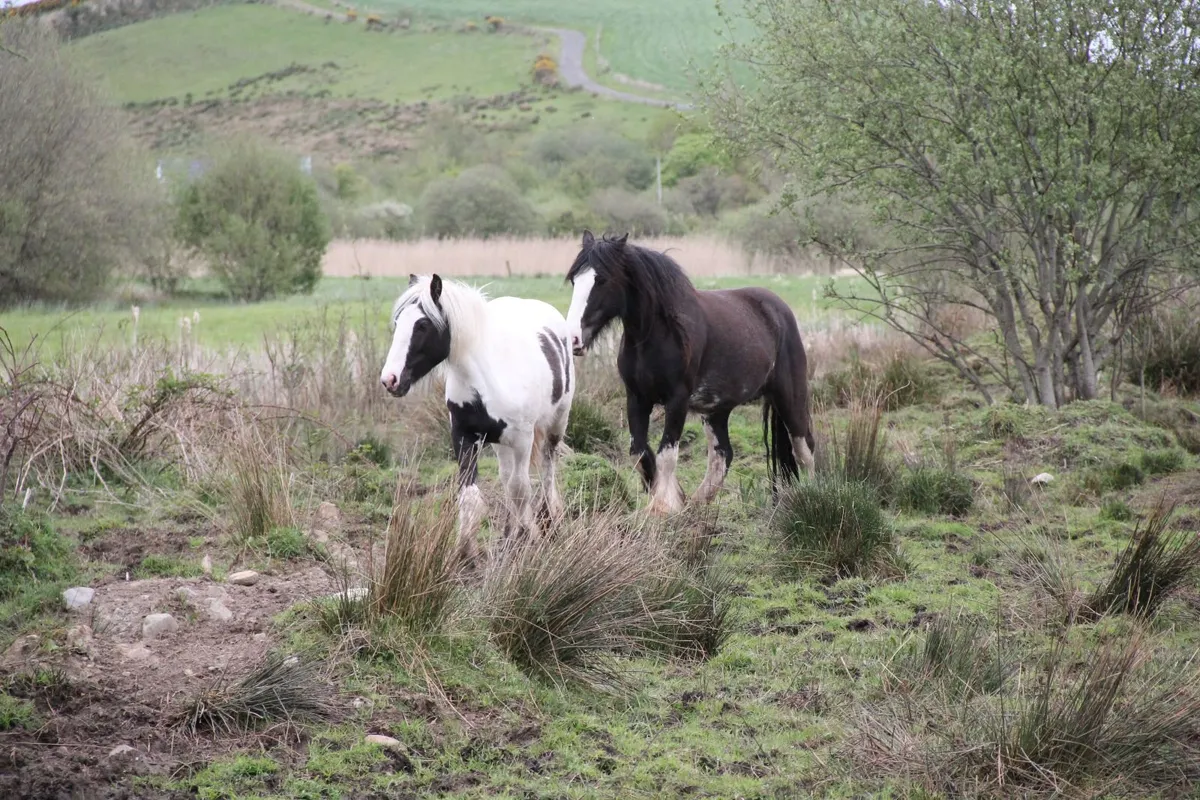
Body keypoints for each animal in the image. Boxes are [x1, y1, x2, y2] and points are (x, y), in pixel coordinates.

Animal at [380, 274, 575, 558]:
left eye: (423, 325)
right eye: (397, 322)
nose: (390, 380)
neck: (487, 379)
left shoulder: (523, 439)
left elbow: (521, 489)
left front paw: (526, 538)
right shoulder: (464, 436)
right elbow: (471, 495)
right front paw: (466, 551)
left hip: (556, 424)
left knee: (547, 467)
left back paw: (549, 520)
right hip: (501, 444)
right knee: (507, 477)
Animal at [564, 231, 815, 515]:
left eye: (602, 280)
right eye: (574, 280)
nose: (573, 339)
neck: (656, 334)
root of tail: (779, 309)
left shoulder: (677, 400)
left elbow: (667, 454)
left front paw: (663, 506)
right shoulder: (636, 398)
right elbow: (639, 452)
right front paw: (670, 497)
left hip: (789, 396)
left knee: (804, 449)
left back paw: (815, 496)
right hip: (716, 409)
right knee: (722, 455)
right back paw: (695, 505)